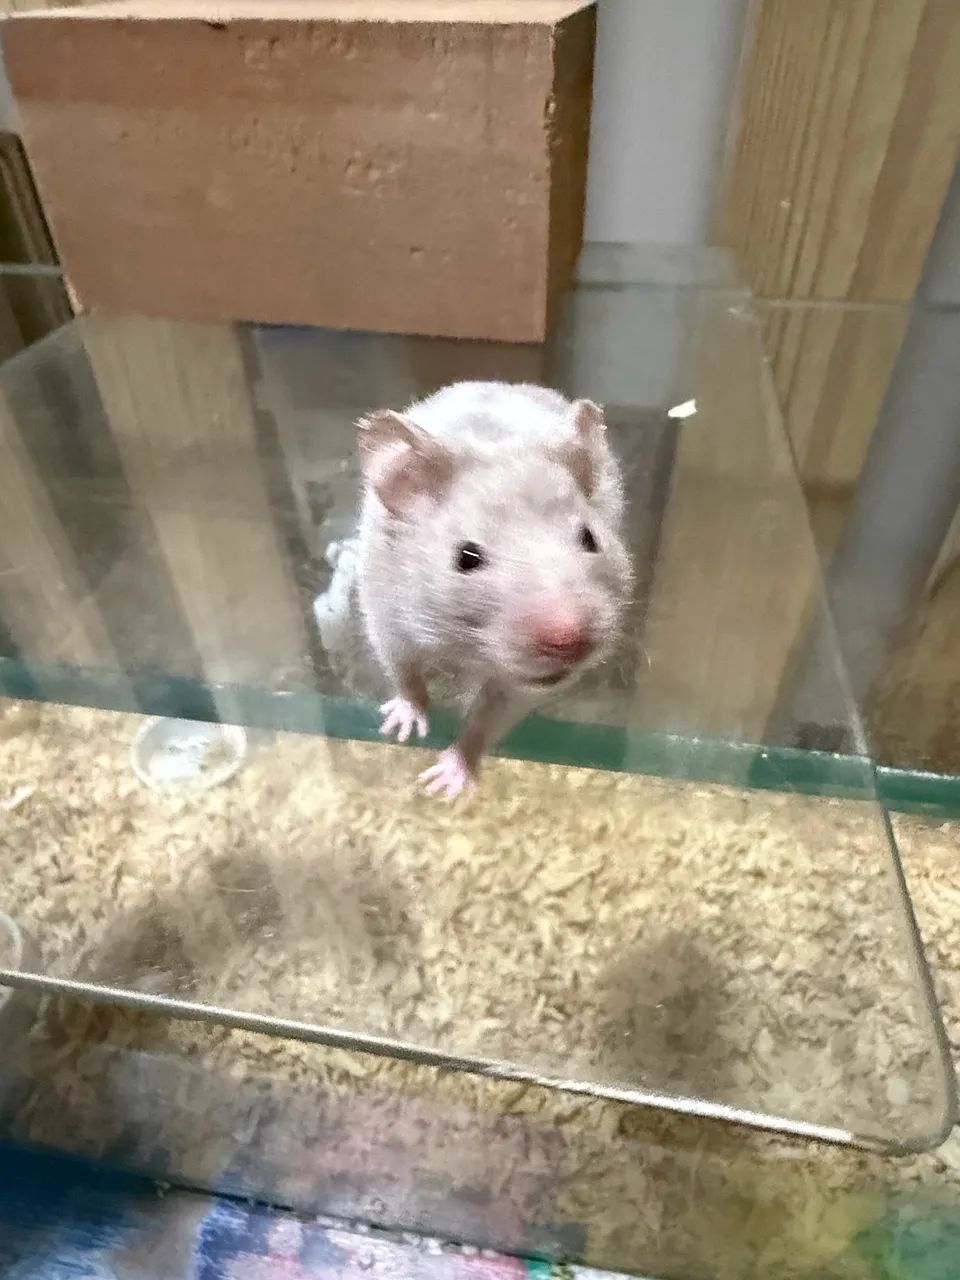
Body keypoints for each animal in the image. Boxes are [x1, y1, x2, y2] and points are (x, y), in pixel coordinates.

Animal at [356, 381, 632, 799]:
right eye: (466, 557)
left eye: (590, 538)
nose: (570, 642)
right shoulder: (386, 617)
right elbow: (405, 675)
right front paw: (401, 728)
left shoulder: (519, 689)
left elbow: (486, 720)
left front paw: (443, 784)